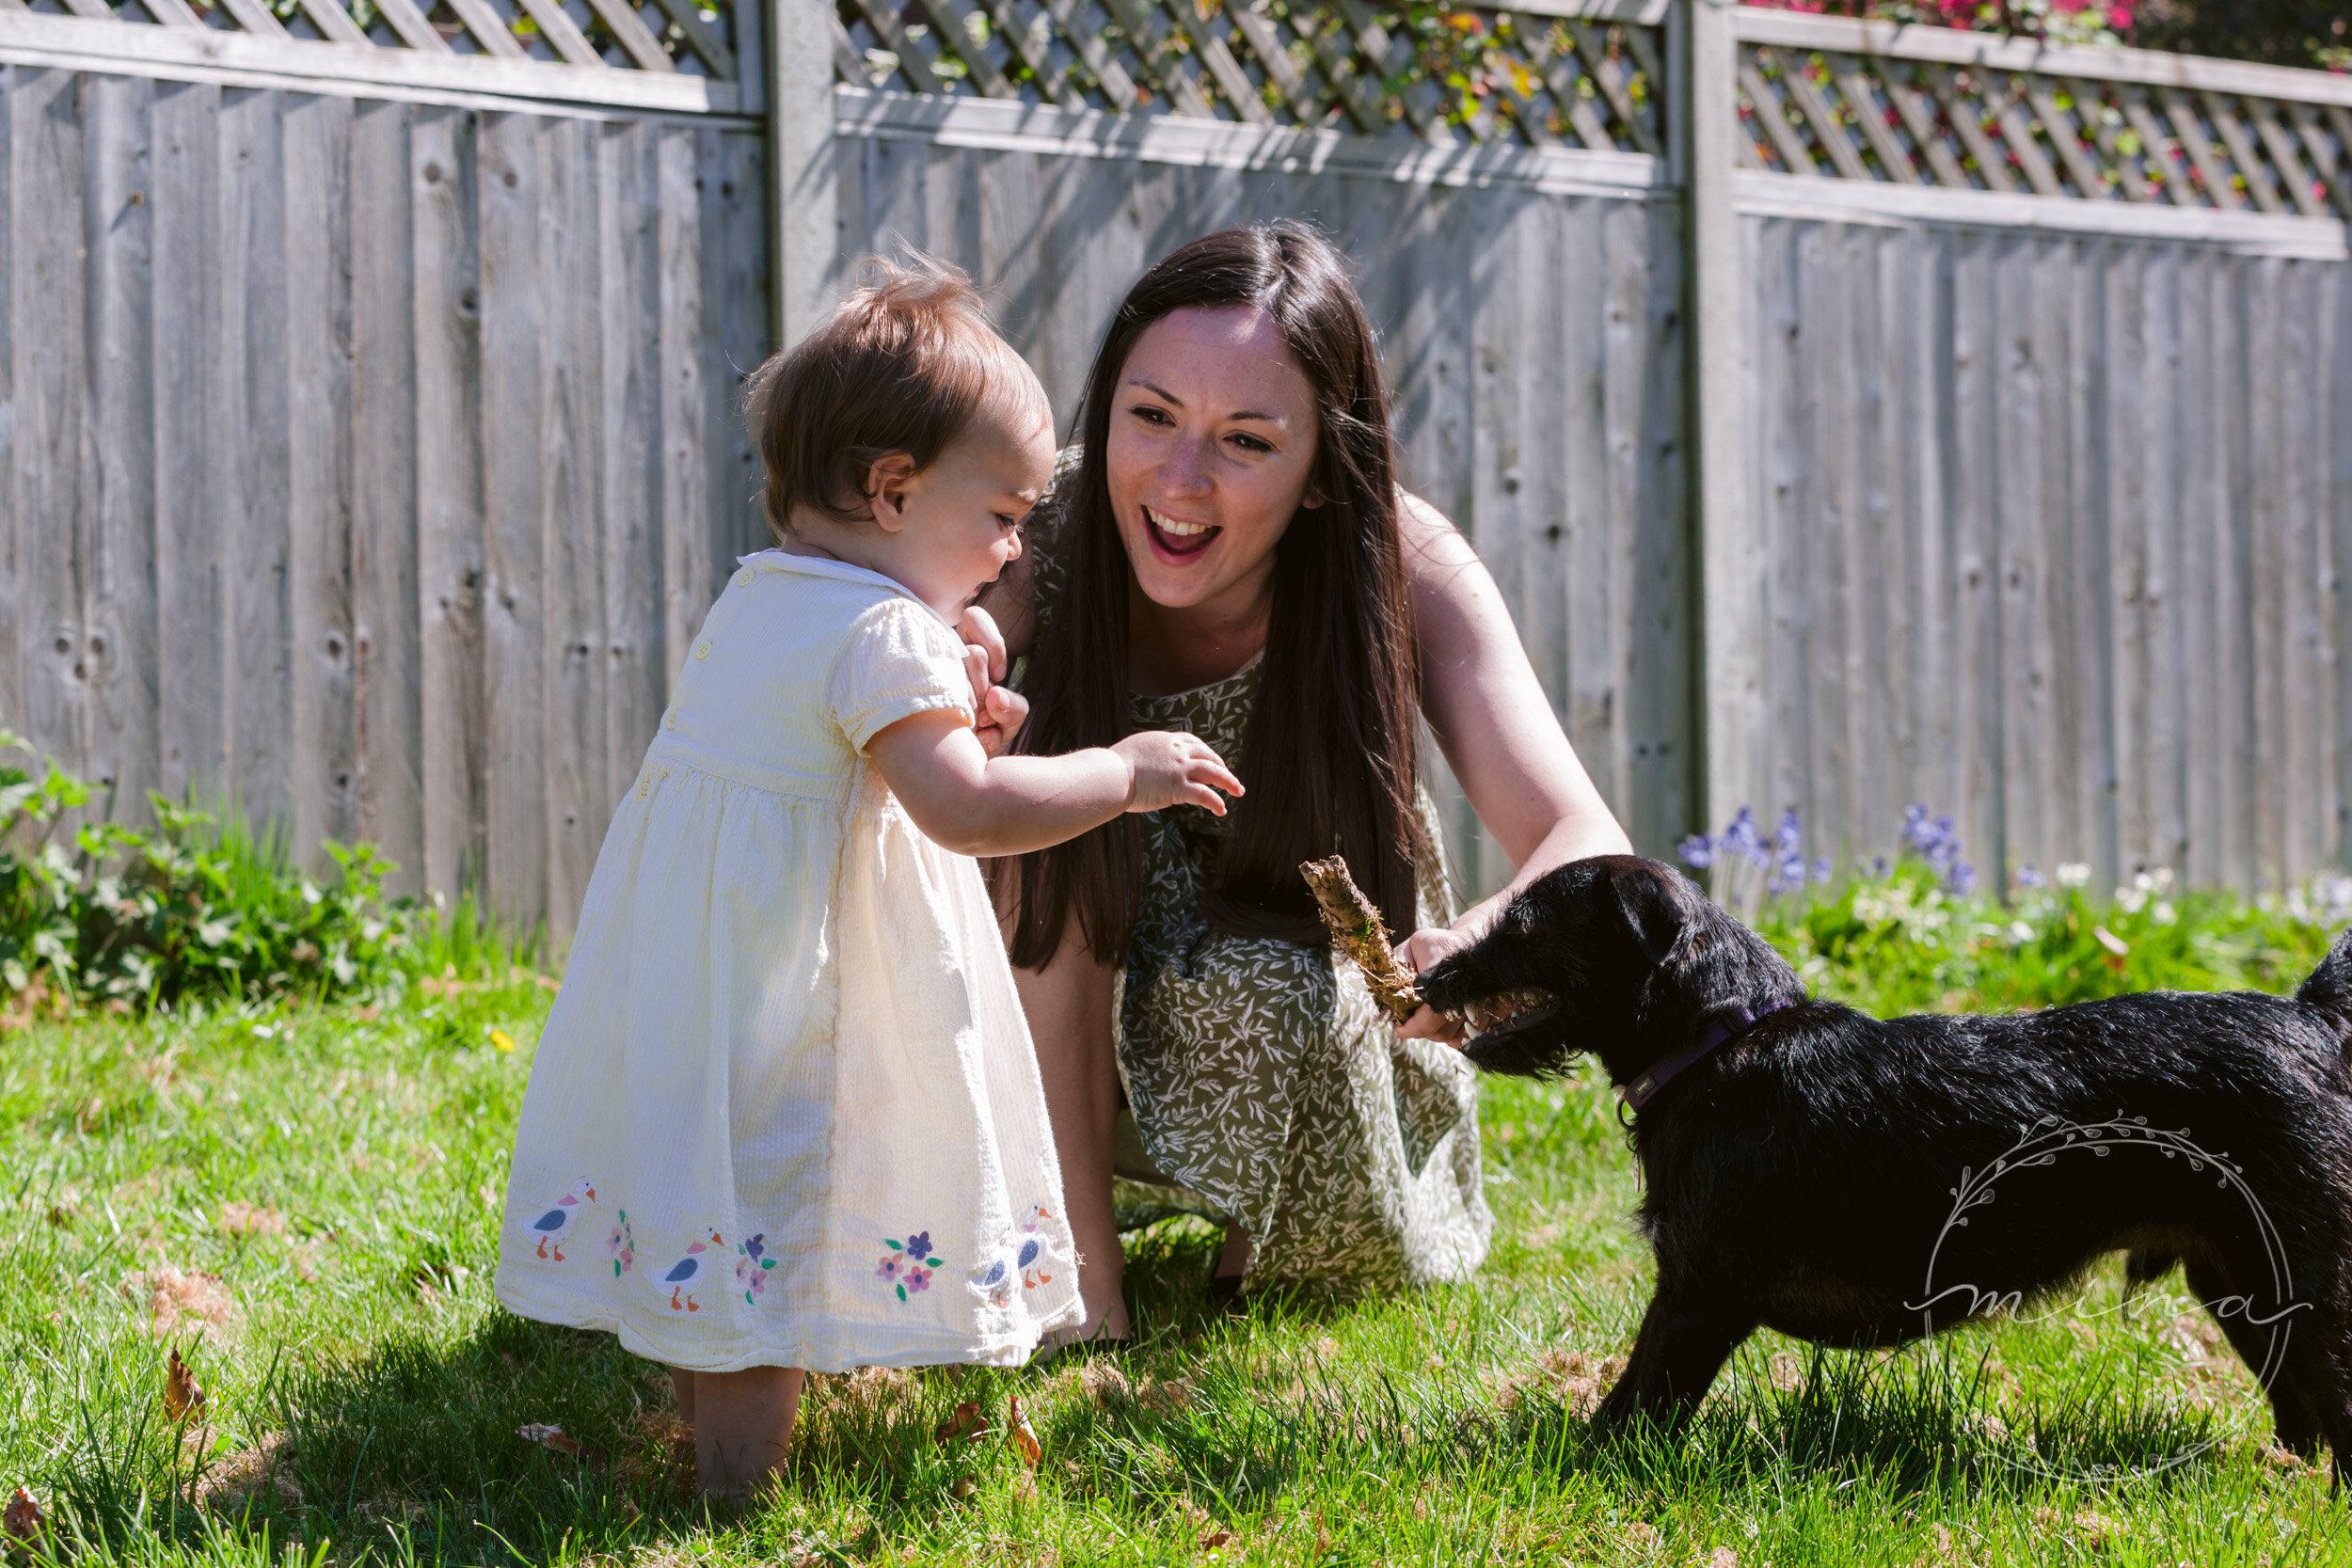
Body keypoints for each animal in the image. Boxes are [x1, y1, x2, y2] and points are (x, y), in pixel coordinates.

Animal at [1411, 850, 2352, 1476]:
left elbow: (1643, 1401)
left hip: (2308, 1278)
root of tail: (2313, 1020)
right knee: (2300, 1404)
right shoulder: (1684, 1289)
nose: (1429, 978)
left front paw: (1584, 1472)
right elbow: (1631, 1387)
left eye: (1525, 927)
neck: (1722, 1040)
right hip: (2243, 1282)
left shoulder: (1700, 1297)